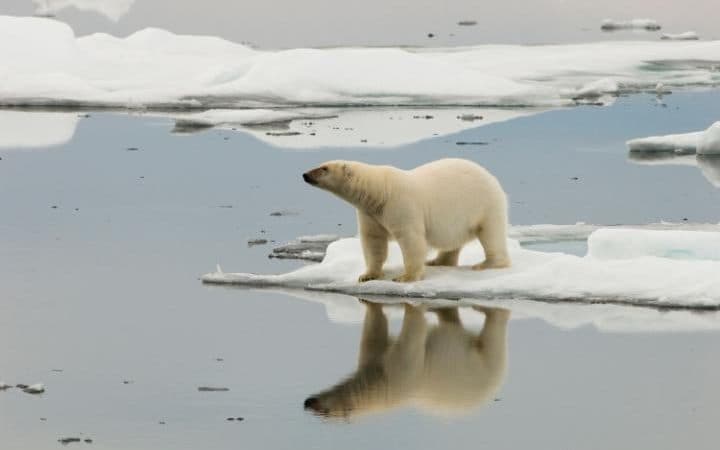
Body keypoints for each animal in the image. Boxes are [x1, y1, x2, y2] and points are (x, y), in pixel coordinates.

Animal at [300, 158, 510, 282]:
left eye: (324, 168)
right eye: (321, 164)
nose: (305, 174)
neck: (380, 192)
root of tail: (492, 177)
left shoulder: (401, 205)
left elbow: (411, 239)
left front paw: (405, 277)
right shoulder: (370, 213)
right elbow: (373, 241)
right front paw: (367, 275)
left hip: (485, 204)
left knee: (491, 234)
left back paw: (487, 264)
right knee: (451, 241)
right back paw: (437, 261)